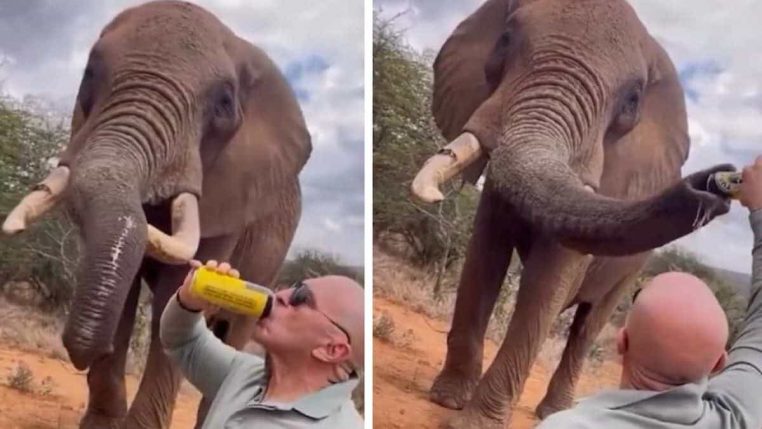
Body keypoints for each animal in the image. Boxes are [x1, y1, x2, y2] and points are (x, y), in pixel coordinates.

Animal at [2, 1, 310, 428]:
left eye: (224, 103)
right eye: (89, 75)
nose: (84, 350)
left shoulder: (230, 195)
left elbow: (174, 293)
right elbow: (127, 286)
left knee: (234, 332)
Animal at [410, 0, 734, 427]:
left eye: (632, 100)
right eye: (506, 40)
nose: (714, 183)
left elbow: (549, 279)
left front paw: (474, 422)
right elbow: (485, 254)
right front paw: (447, 399)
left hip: (634, 269)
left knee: (589, 324)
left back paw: (555, 410)